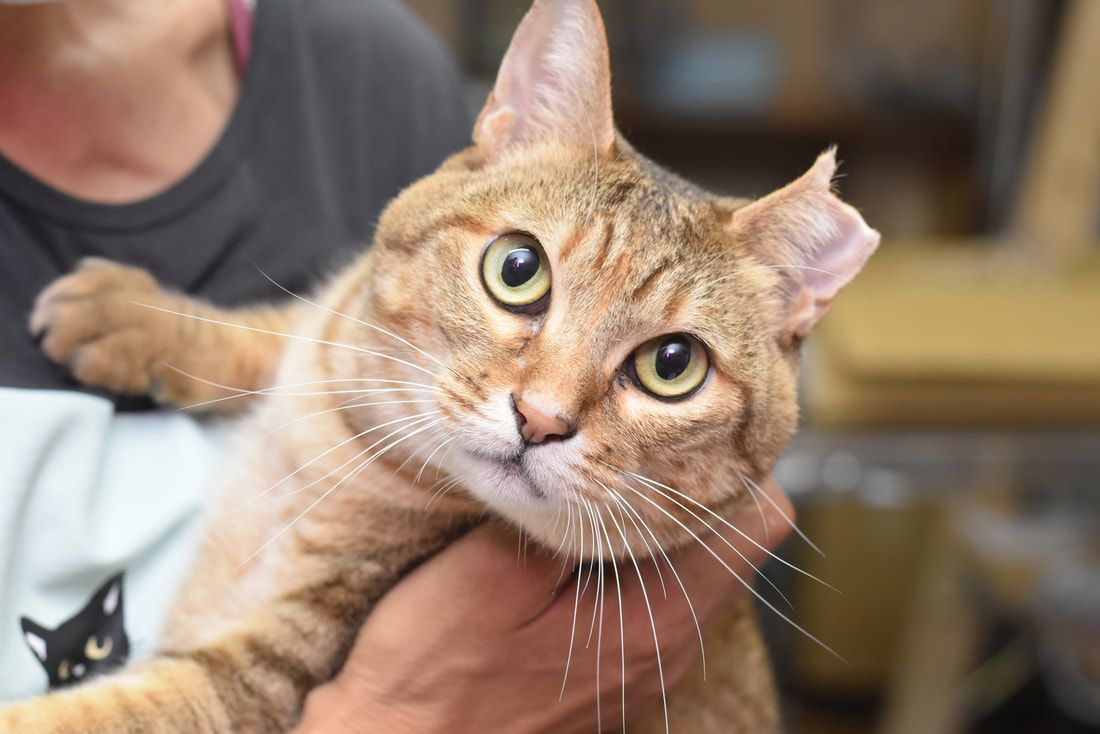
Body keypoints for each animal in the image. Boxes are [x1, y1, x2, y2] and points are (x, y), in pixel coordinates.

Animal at [0, 1, 875, 734]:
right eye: (518, 267)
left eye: (672, 364)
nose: (541, 420)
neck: (339, 441)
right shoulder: (326, 330)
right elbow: (265, 329)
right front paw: (130, 312)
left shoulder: (267, 674)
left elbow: (106, 713)